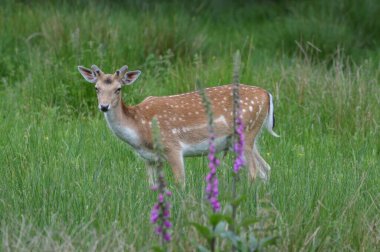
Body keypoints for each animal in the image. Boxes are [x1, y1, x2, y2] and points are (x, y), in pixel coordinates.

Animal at [78, 65, 280, 187]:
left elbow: (180, 182)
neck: (139, 129)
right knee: (266, 168)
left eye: (118, 89)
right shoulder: (148, 158)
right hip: (247, 138)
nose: (104, 106)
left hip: (246, 132)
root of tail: (266, 94)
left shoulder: (172, 146)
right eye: (96, 88)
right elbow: (151, 185)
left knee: (253, 171)